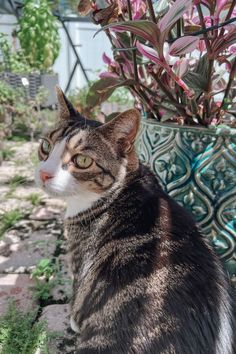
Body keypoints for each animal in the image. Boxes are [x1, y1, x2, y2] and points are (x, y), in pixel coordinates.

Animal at [35, 86, 236, 354]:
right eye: (46, 146)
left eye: (83, 161)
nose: (44, 174)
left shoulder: (80, 258)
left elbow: (79, 295)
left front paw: (74, 320)